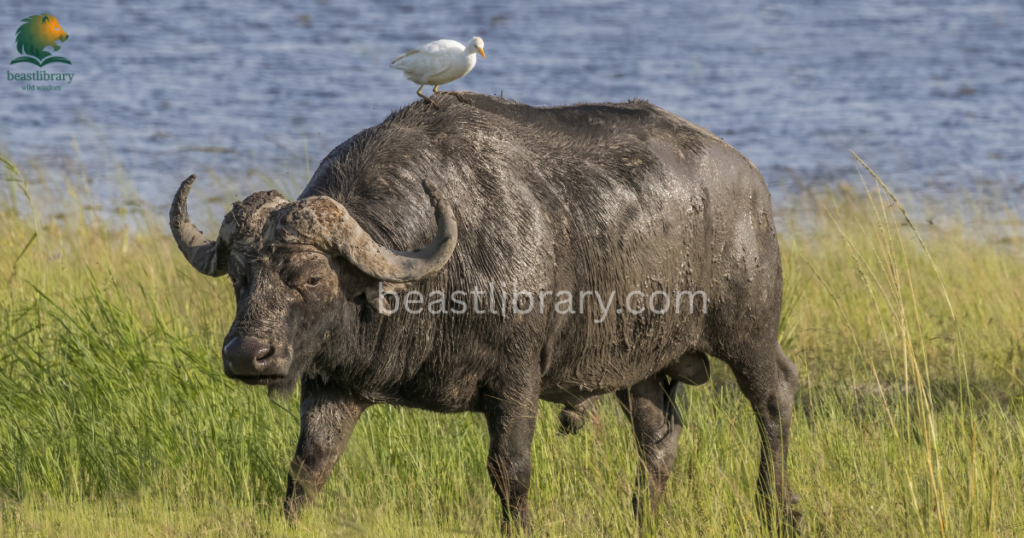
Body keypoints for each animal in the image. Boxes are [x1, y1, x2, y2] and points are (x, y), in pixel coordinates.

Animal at [170, 92, 800, 533]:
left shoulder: (517, 380)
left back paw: (779, 508)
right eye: (241, 278)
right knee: (659, 441)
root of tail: (750, 181)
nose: (247, 356)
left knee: (774, 404)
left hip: (749, 335)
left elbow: (510, 470)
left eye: (311, 277)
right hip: (638, 369)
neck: (433, 283)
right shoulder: (332, 384)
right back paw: (644, 518)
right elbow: (308, 468)